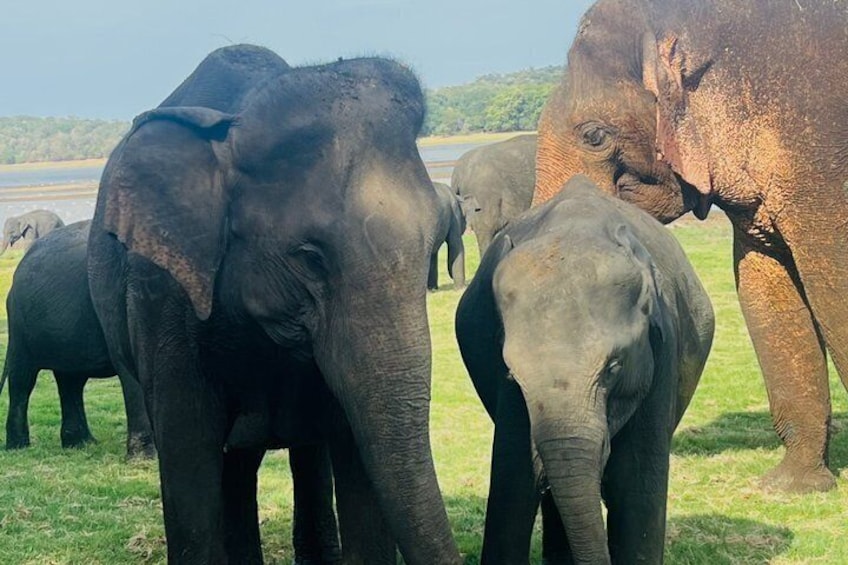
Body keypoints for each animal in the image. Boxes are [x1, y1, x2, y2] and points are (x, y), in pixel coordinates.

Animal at [1, 220, 154, 458]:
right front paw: (145, 458)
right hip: (19, 323)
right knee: (23, 378)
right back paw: (18, 448)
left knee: (71, 380)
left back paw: (80, 444)